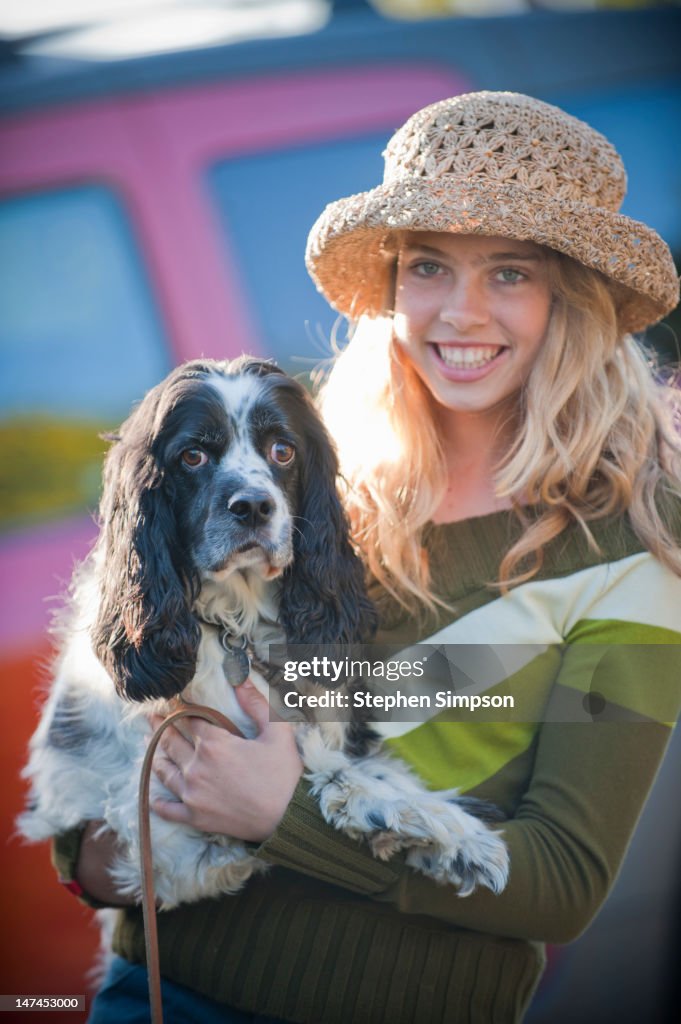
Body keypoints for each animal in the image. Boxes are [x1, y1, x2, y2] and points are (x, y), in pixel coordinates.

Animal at [15, 358, 507, 905]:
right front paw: (414, 820)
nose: (252, 506)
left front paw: (454, 838)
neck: (236, 625)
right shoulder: (159, 828)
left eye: (283, 450)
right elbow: (325, 773)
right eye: (192, 456)